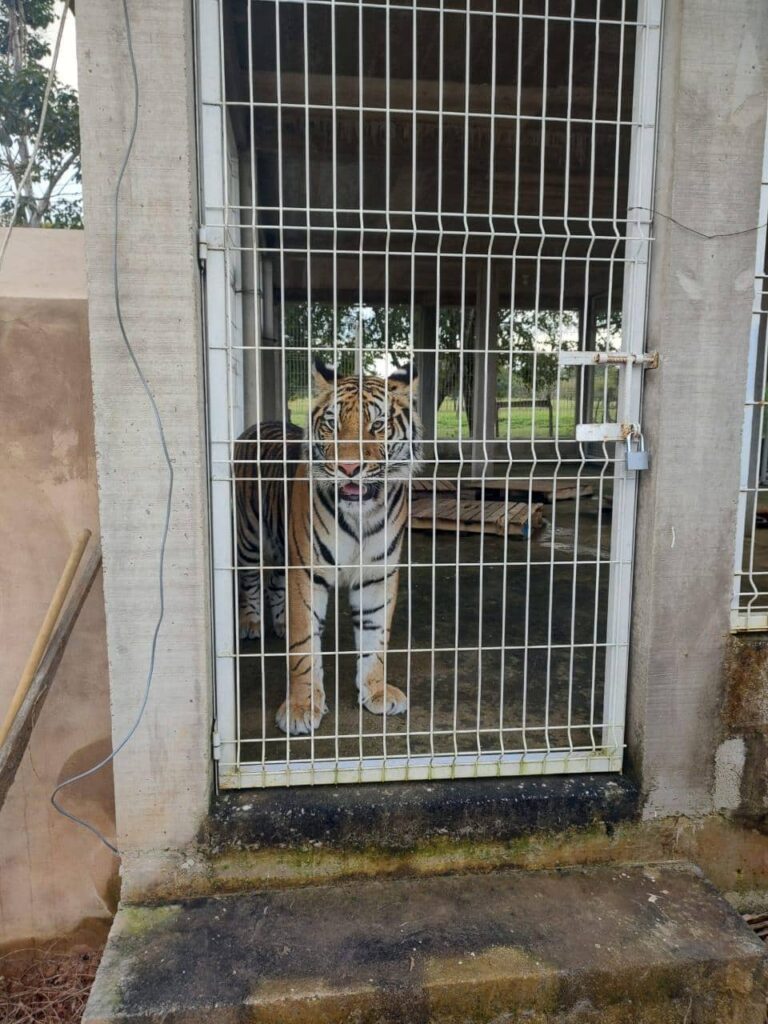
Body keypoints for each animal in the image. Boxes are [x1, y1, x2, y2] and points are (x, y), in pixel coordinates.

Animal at [236, 360, 423, 737]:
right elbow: (304, 646)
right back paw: (251, 623)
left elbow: (375, 637)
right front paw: (301, 708)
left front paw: (376, 691)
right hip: (250, 535)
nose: (349, 468)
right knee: (249, 580)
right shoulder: (307, 572)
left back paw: (279, 622)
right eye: (332, 424)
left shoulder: (377, 575)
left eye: (377, 425)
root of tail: (260, 423)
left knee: (274, 582)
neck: (361, 516)